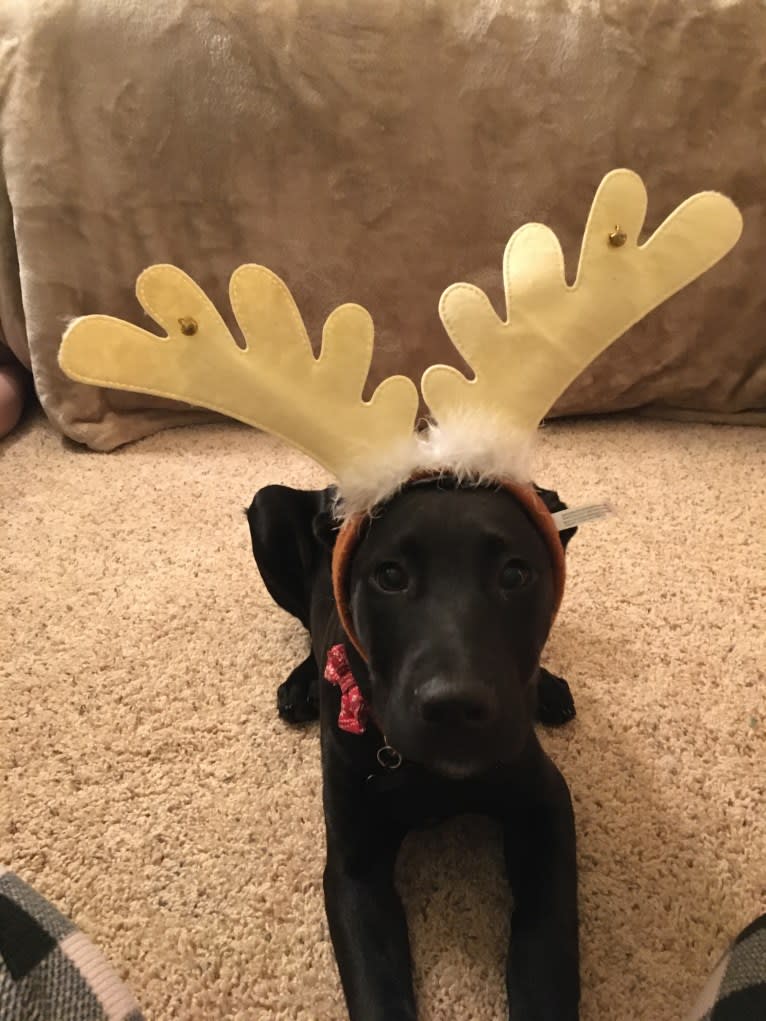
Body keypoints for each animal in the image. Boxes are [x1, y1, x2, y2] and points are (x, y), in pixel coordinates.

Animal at [249, 479, 580, 1021]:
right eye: (390, 575)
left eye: (514, 573)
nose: (454, 707)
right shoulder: (354, 868)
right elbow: (377, 991)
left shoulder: (546, 804)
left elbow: (546, 954)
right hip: (267, 509)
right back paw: (303, 685)